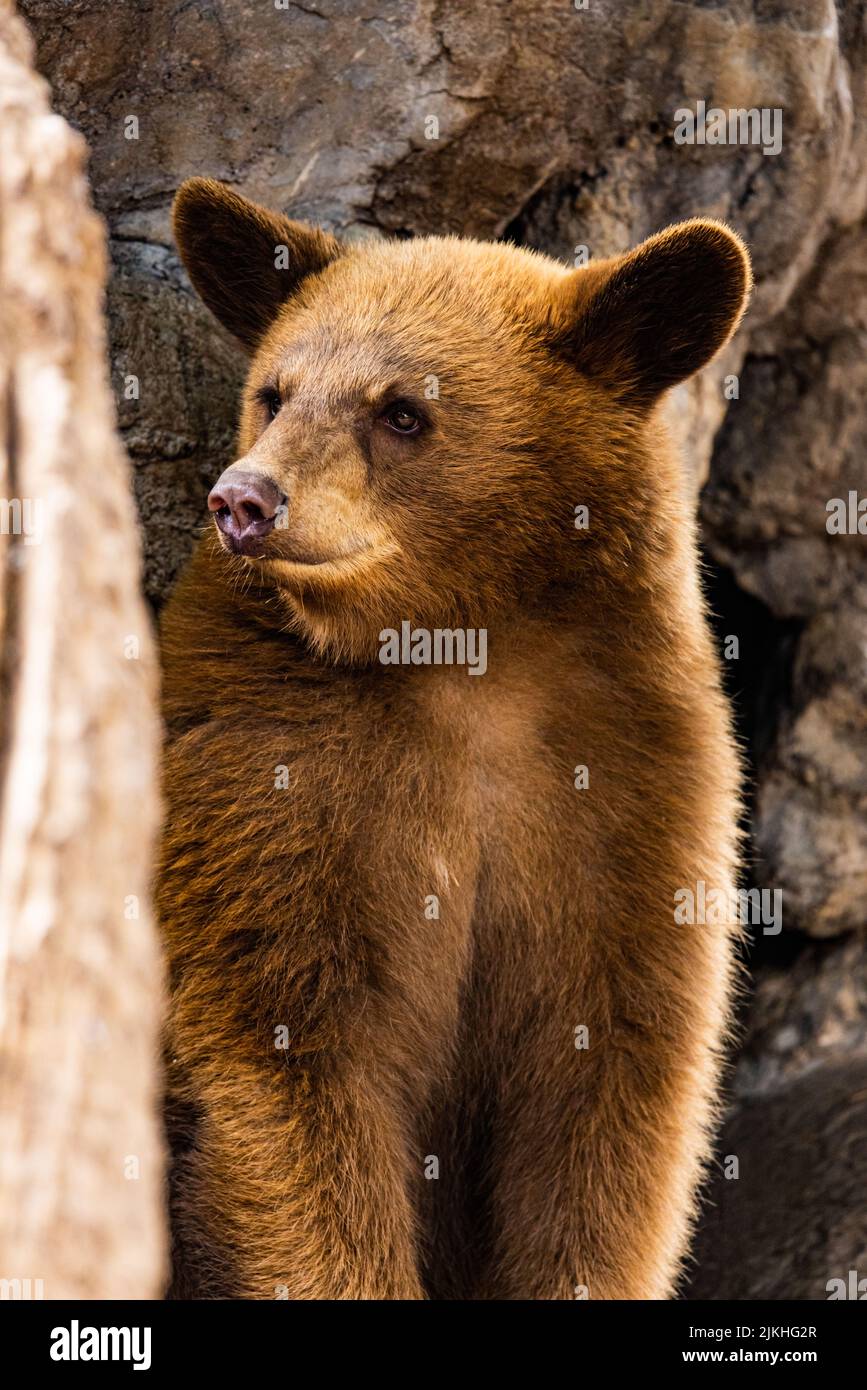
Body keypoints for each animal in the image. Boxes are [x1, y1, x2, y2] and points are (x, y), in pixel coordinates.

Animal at [158, 176, 751, 1300]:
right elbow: (292, 1075)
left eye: (402, 411)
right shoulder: (269, 783)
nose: (245, 500)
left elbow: (610, 1106)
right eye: (275, 392)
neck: (467, 655)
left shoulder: (632, 796)